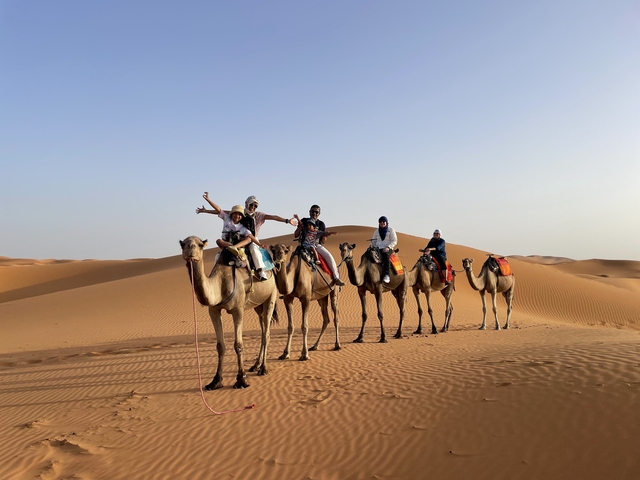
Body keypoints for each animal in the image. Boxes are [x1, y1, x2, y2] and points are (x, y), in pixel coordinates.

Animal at [180, 236, 278, 390]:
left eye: (200, 245)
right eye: (182, 244)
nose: (190, 250)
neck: (220, 284)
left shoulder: (238, 310)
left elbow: (238, 344)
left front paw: (241, 379)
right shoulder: (213, 310)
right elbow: (220, 346)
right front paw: (215, 381)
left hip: (271, 295)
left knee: (266, 333)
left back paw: (263, 369)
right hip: (258, 305)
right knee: (263, 329)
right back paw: (255, 365)